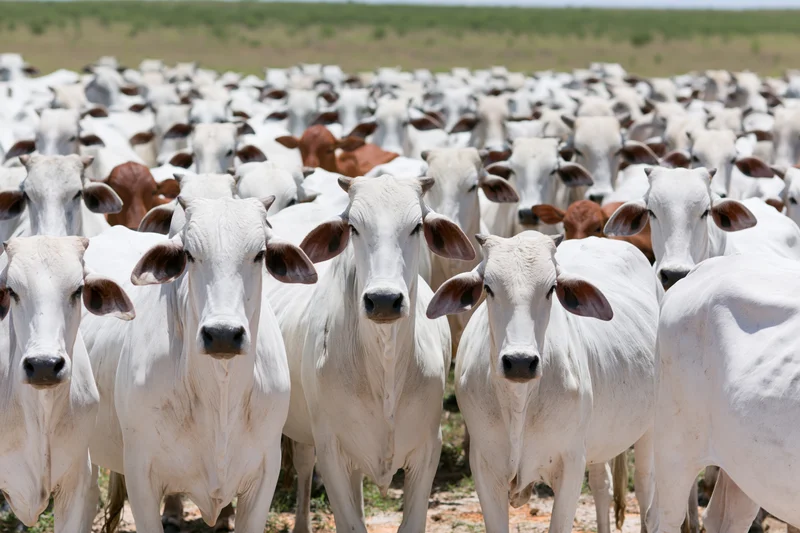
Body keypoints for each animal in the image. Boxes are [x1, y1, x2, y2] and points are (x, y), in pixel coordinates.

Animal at [82, 197, 317, 533]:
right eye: (190, 254)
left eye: (259, 254)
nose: (223, 334)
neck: (219, 395)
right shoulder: (142, 477)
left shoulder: (264, 476)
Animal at [267, 175, 473, 533]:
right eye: (354, 227)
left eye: (417, 226)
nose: (384, 300)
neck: (385, 368)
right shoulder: (331, 452)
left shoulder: (428, 449)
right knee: (305, 465)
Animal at [426, 232, 658, 533]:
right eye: (488, 287)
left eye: (551, 289)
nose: (520, 361)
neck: (519, 401)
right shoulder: (484, 468)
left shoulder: (570, 465)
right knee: (602, 485)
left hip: (647, 430)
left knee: (644, 487)